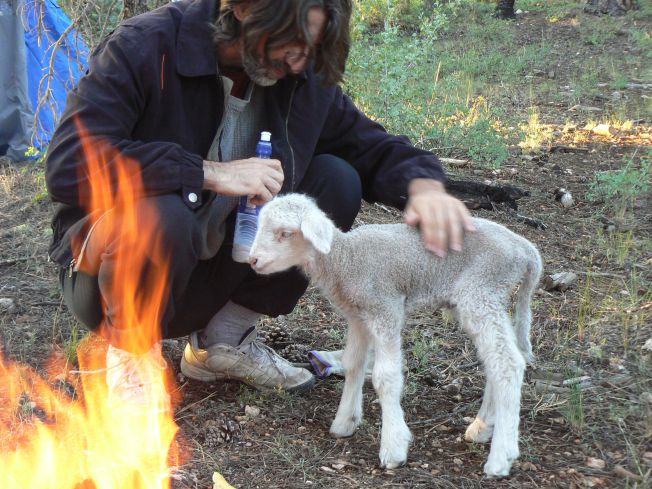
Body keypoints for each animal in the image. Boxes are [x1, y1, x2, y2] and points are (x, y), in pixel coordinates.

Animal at [248, 193, 543, 477]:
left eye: (285, 233)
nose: (252, 260)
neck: (346, 259)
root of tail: (526, 250)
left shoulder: (386, 310)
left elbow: (385, 377)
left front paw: (393, 448)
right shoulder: (359, 317)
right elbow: (353, 364)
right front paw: (345, 422)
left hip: (481, 291)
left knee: (508, 363)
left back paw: (501, 457)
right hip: (486, 297)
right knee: (498, 360)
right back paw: (483, 428)